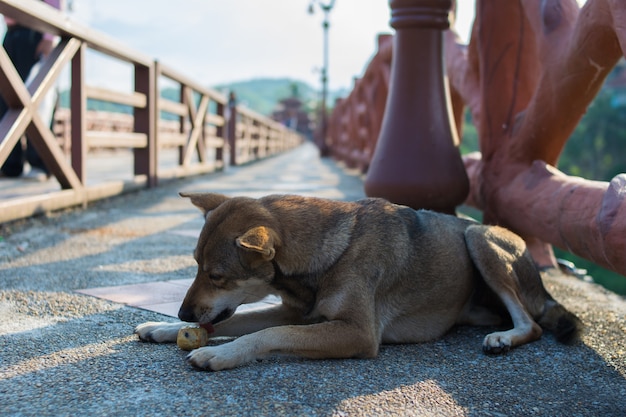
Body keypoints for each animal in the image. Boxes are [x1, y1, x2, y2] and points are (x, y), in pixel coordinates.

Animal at [135, 192, 580, 370]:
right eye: (194, 265)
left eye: (217, 276)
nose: (183, 311)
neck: (330, 250)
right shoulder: (295, 311)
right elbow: (240, 323)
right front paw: (164, 327)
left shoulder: (356, 332)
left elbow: (270, 334)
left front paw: (220, 353)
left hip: (479, 239)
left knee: (532, 324)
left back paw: (505, 337)